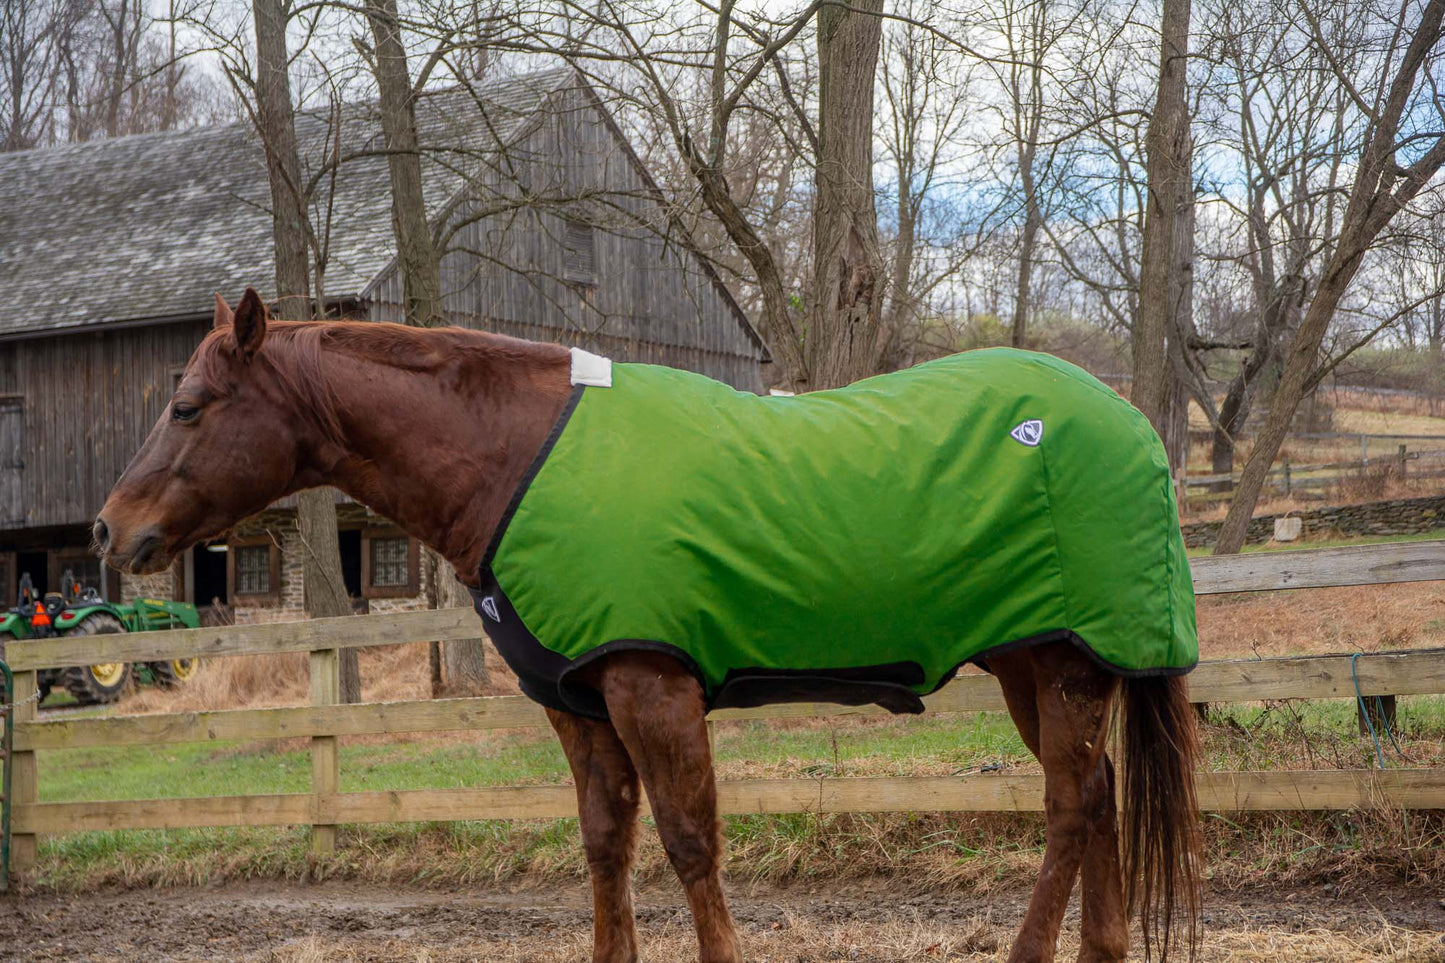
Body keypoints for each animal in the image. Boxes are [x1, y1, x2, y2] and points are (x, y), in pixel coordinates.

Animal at [96, 288, 1201, 963]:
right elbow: (605, 845)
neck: (517, 459)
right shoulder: (579, 705)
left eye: (189, 405)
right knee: (1096, 795)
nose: (112, 529)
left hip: (1062, 664)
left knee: (1068, 806)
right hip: (1031, 666)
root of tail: (1127, 420)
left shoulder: (650, 684)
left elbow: (688, 841)